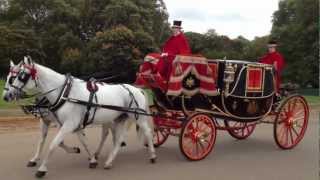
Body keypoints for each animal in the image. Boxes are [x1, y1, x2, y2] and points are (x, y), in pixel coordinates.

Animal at [3, 57, 156, 178]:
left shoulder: (68, 124)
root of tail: (137, 89)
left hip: (138, 117)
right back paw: (109, 161)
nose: (6, 96)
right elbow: (79, 142)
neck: (64, 93)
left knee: (147, 133)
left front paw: (42, 169)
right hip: (118, 118)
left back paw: (152, 155)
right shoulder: (67, 124)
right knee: (116, 139)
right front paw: (92, 159)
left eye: (21, 76)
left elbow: (53, 144)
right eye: (11, 77)